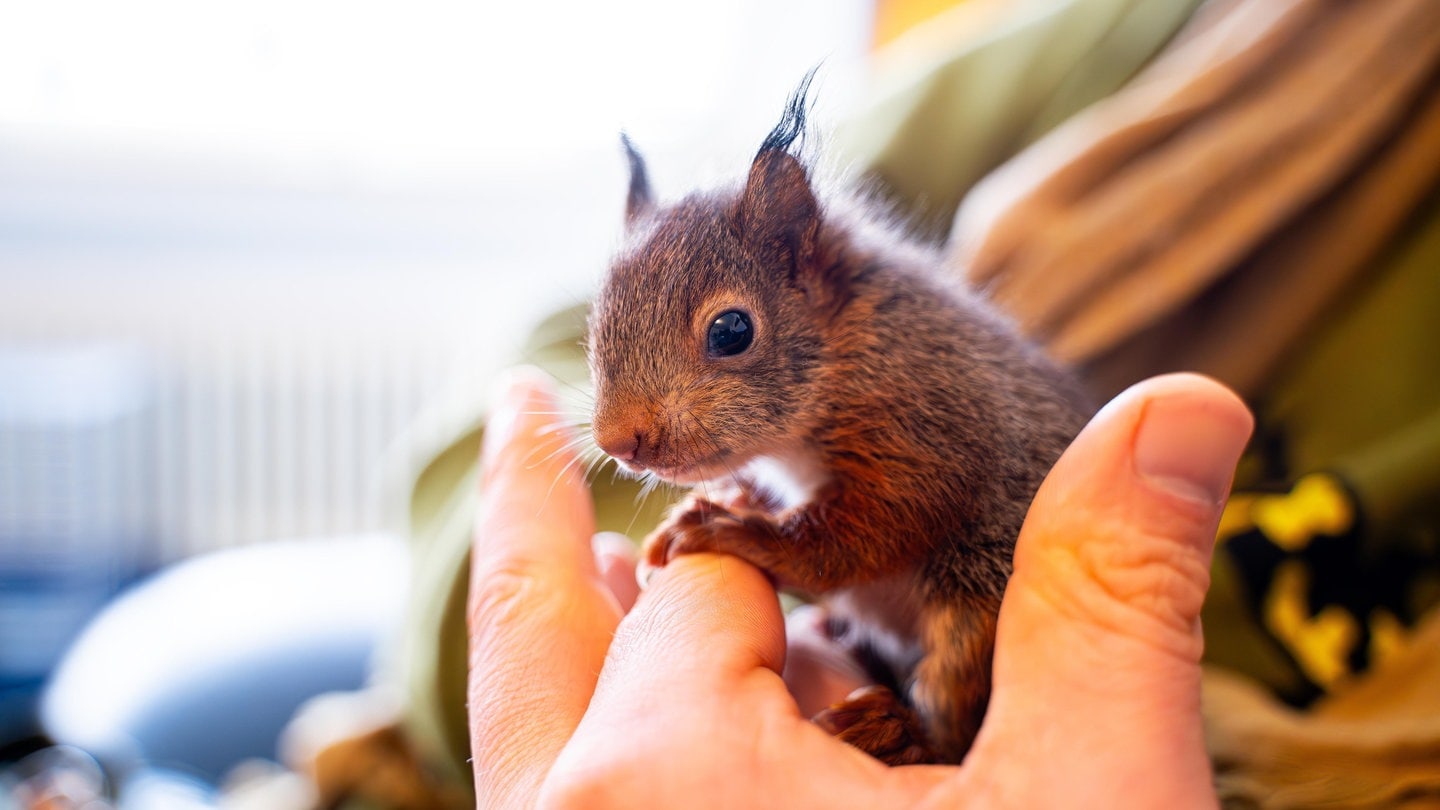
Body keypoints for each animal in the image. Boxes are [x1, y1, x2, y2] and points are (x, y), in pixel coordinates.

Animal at [584, 72, 1088, 760]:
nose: (618, 442)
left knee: (955, 716)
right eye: (595, 318)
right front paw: (730, 501)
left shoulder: (928, 433)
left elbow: (857, 539)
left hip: (976, 608)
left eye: (732, 330)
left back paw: (897, 732)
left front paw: (735, 530)